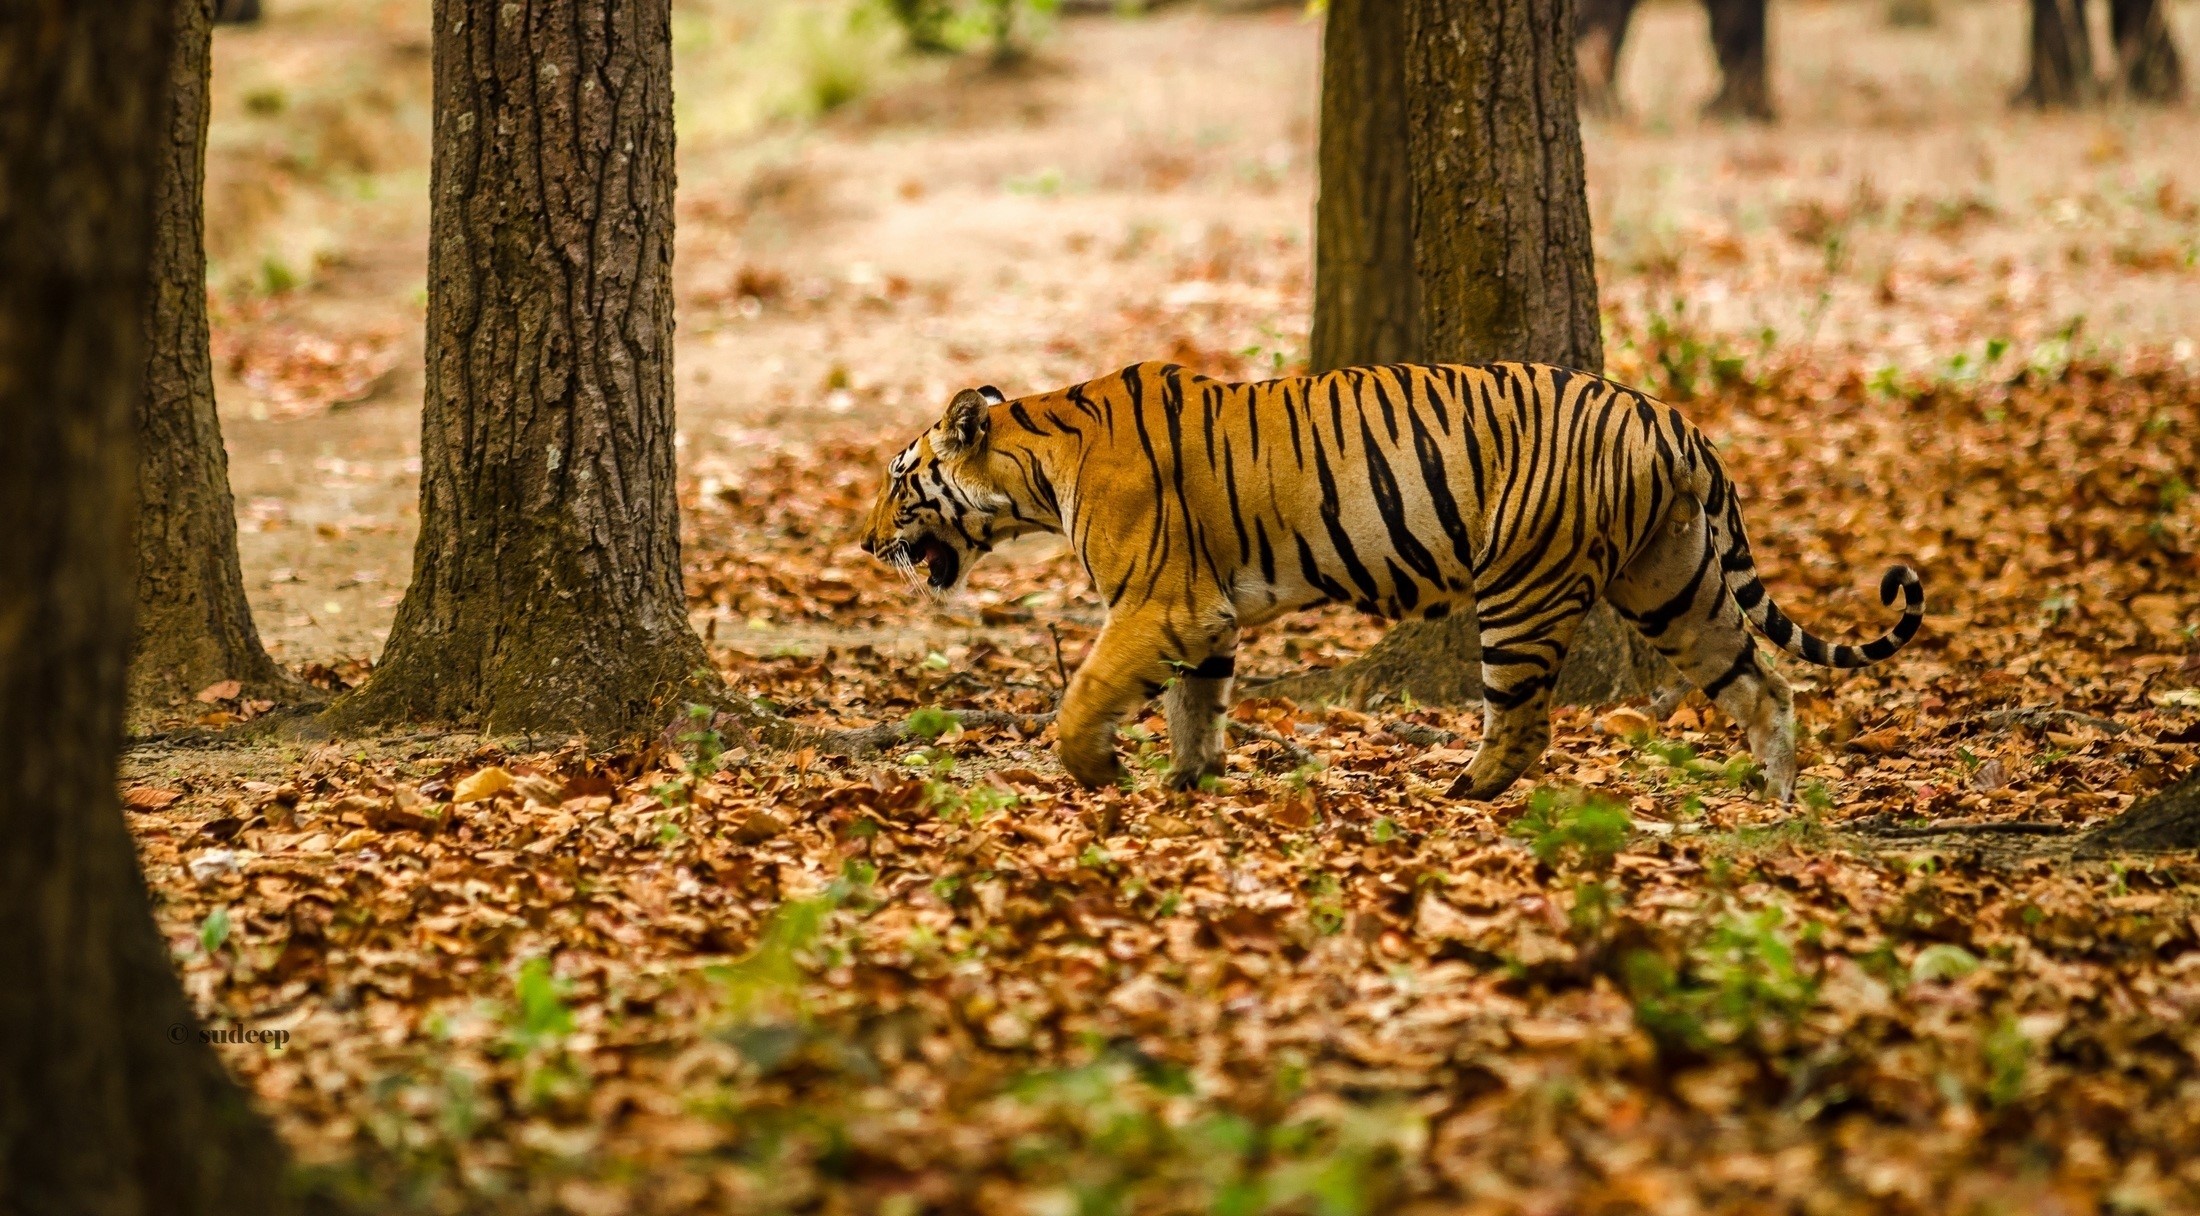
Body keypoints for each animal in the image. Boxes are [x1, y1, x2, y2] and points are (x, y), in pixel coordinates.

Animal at [858, 361, 1923, 802]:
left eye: (899, 484)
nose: (866, 544)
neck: (1036, 464)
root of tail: (1673, 419)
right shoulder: (1205, 617)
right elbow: (1197, 706)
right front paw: (1189, 781)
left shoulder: (1158, 604)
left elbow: (1085, 696)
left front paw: (1098, 774)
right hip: (1677, 585)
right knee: (1766, 683)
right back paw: (1778, 798)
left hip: (1524, 587)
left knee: (1524, 722)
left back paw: (1462, 790)